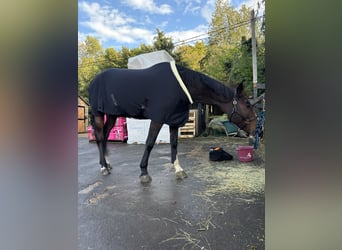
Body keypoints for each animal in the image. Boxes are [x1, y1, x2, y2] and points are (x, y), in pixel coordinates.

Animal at [88, 62, 256, 184]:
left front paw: (179, 170)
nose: (256, 127)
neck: (182, 86)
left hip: (111, 115)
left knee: (105, 136)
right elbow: (149, 143)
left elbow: (174, 144)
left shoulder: (174, 120)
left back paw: (107, 163)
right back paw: (103, 167)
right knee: (100, 137)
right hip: (98, 114)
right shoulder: (158, 119)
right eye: (247, 104)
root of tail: (93, 81)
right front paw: (144, 173)